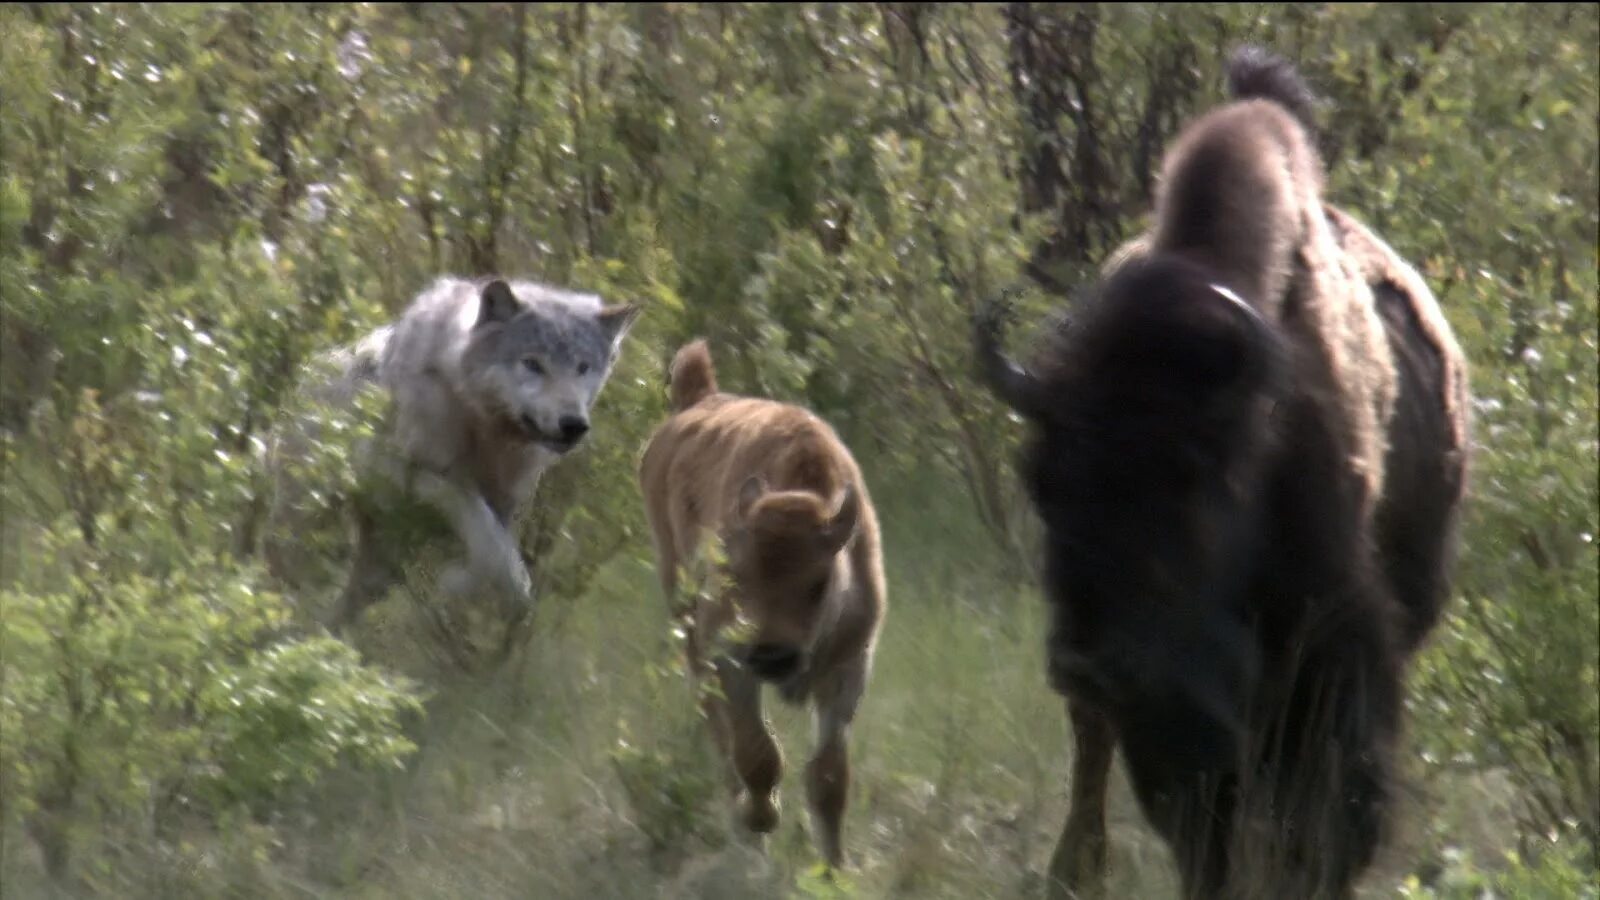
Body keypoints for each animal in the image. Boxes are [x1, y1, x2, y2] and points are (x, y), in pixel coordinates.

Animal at [262, 273, 636, 630]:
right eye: (532, 363)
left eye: (583, 367)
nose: (573, 424)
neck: (482, 427)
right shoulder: (407, 471)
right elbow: (484, 536)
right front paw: (478, 583)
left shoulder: (504, 502)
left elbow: (493, 545)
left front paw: (473, 587)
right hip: (307, 516)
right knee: (283, 564)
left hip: (380, 550)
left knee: (357, 590)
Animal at [633, 337, 889, 871]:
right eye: (736, 575)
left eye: (820, 582)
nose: (773, 655)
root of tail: (698, 401)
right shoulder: (731, 659)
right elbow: (758, 753)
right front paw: (760, 820)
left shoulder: (849, 670)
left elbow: (829, 776)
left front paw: (835, 869)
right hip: (686, 618)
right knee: (715, 722)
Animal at [966, 45, 1465, 896]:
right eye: (1042, 482)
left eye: (1187, 475)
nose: (1083, 661)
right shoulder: (1171, 703)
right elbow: (1199, 810)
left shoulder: (1333, 640)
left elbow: (1328, 792)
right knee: (1095, 754)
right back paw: (1074, 867)